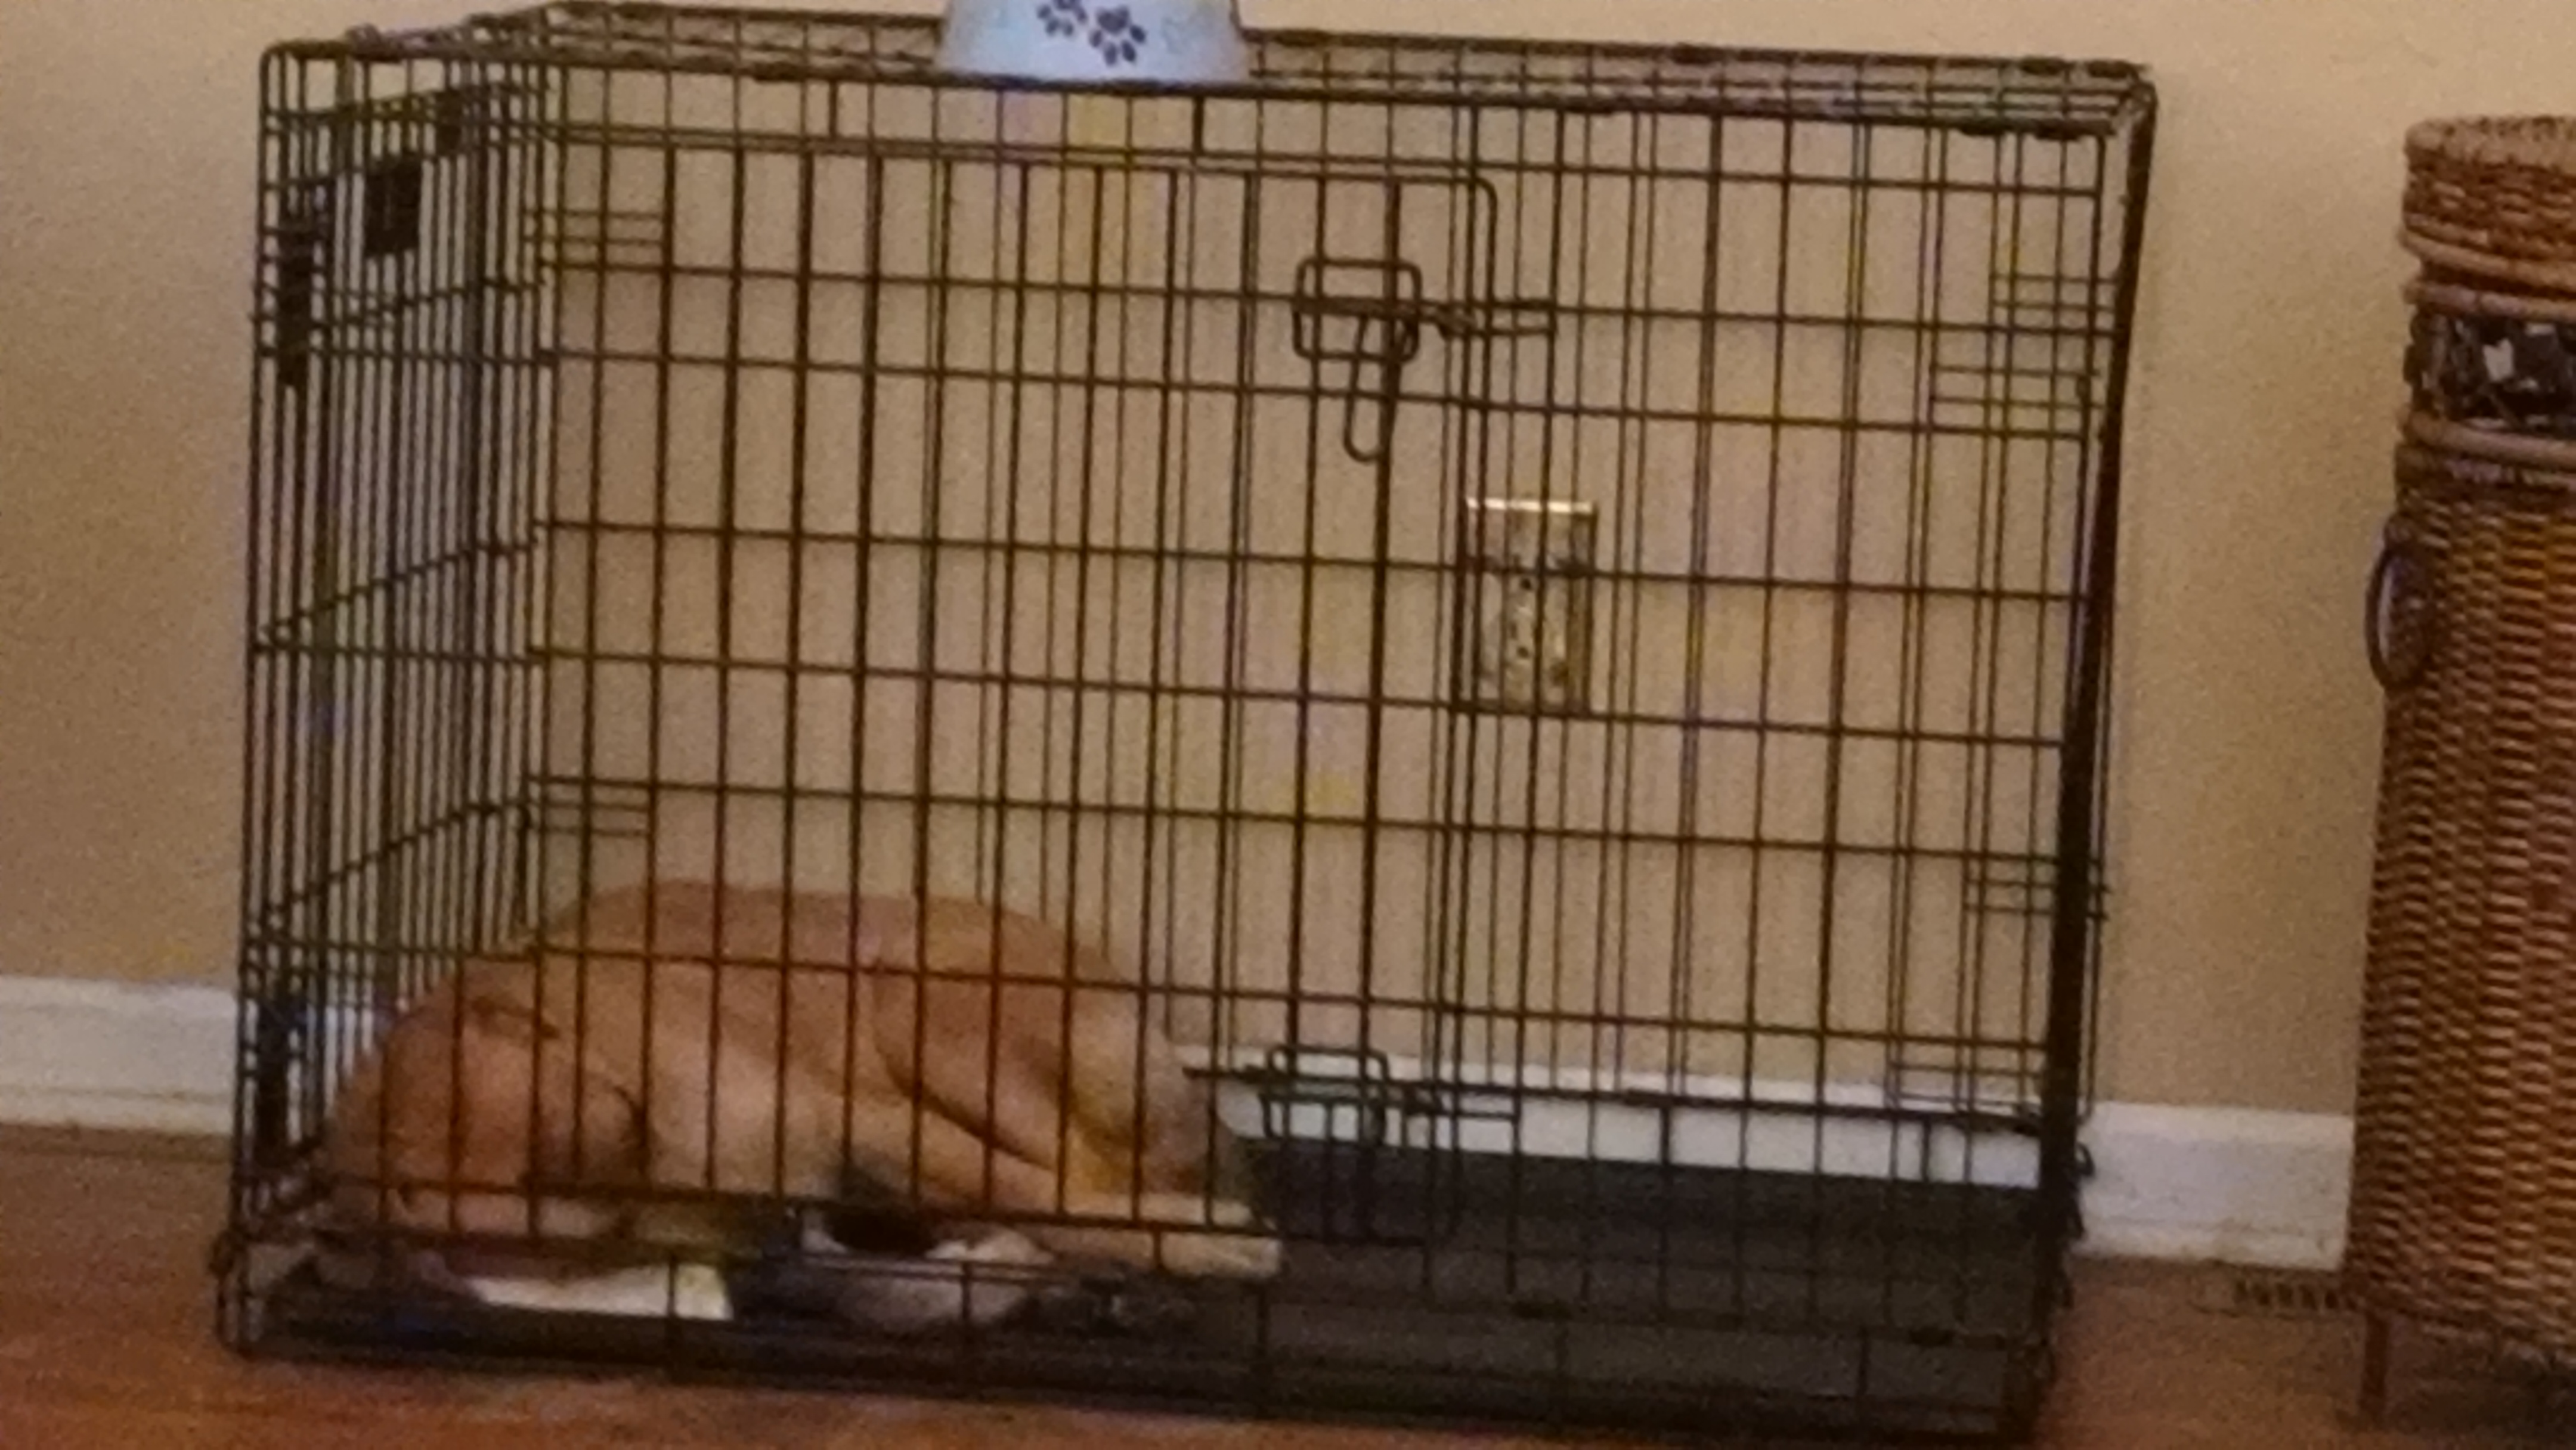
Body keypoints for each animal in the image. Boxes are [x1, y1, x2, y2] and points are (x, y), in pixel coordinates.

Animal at [310, 881, 1281, 1333]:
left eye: (616, 1114)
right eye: (602, 1235)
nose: (776, 1228)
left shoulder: (859, 1121)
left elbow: (1041, 1193)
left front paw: (1207, 1248)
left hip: (925, 1008)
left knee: (1096, 1169)